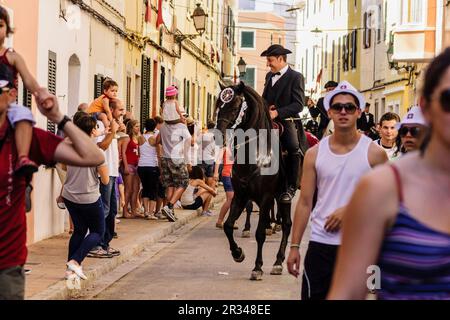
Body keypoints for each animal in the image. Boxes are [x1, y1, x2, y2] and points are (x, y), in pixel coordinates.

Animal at [216, 82, 294, 280]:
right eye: (218, 105)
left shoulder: (265, 198)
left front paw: (257, 267)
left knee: (287, 224)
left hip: (284, 197)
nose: (217, 135)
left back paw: (278, 262)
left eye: (234, 107)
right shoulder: (240, 196)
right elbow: (228, 226)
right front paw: (238, 253)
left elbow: (259, 234)